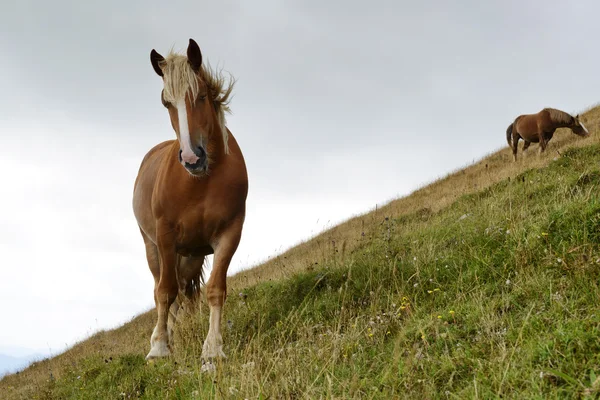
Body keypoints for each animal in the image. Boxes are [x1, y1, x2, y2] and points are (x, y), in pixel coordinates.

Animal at [133, 39, 248, 362]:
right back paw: (160, 340)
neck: (199, 183)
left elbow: (215, 289)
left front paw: (213, 351)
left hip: (192, 254)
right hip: (153, 247)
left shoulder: (230, 233)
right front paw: (159, 349)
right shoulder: (165, 236)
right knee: (162, 289)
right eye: (166, 102)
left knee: (180, 290)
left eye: (202, 95)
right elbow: (164, 292)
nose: (191, 158)